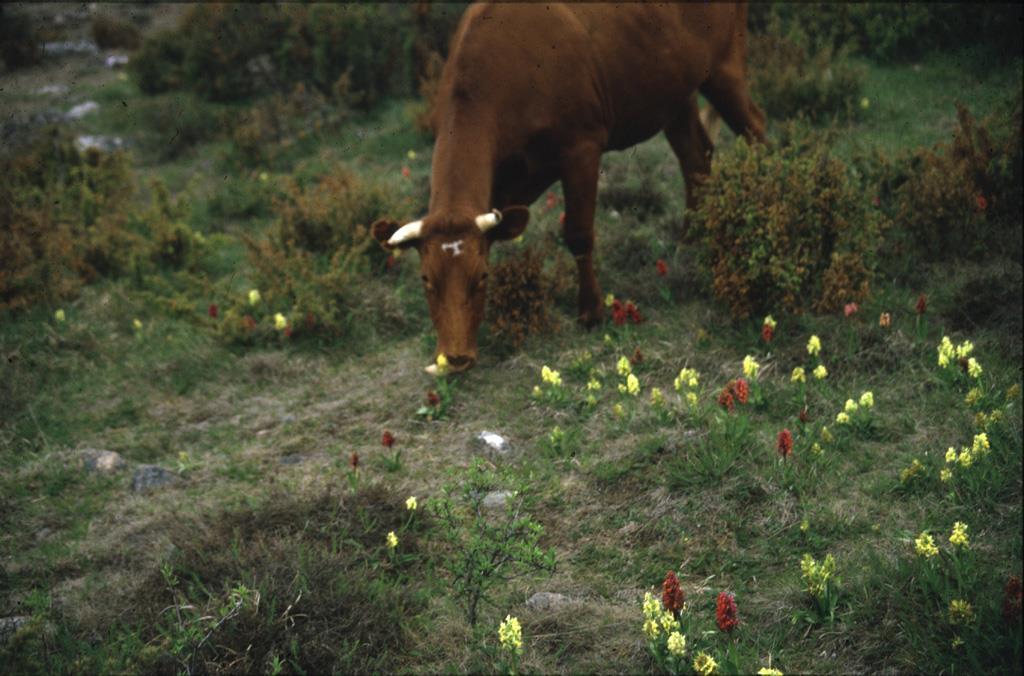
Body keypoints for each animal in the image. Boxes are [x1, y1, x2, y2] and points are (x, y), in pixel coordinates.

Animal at [372, 1, 765, 374]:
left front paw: (591, 311)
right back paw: (689, 238)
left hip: (725, 66)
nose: (455, 358)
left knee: (755, 130)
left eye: (481, 276)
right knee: (695, 157)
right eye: (425, 278)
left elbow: (578, 233)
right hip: (674, 91)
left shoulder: (582, 148)